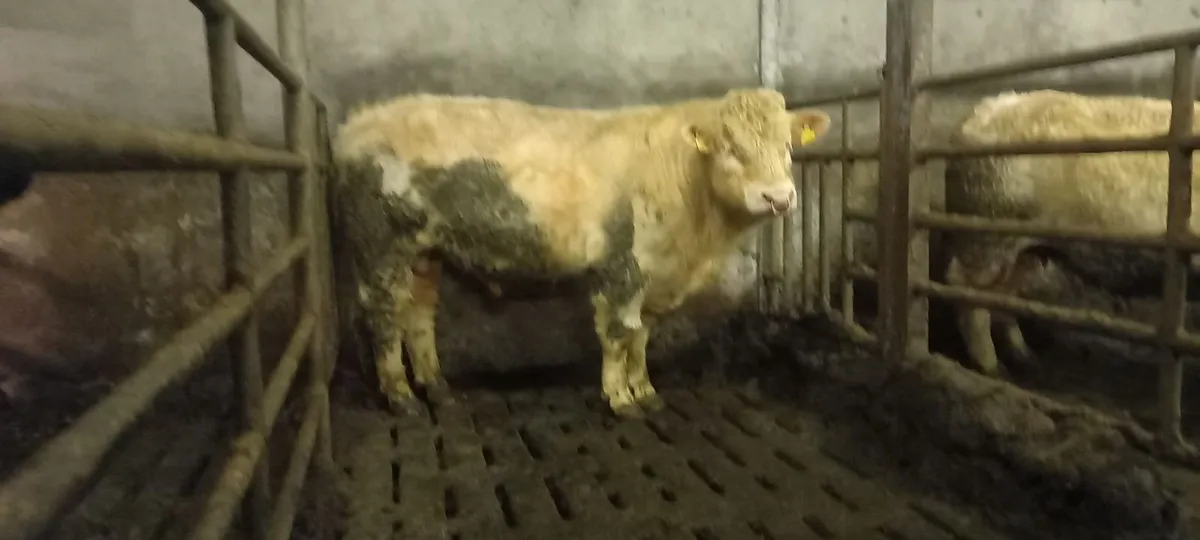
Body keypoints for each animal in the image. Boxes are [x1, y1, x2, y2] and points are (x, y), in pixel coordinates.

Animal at [332, 89, 832, 418]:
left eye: (788, 146)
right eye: (731, 148)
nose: (778, 197)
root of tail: (356, 124)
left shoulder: (655, 275)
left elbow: (641, 335)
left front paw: (645, 389)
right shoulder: (621, 266)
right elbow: (617, 333)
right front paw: (620, 398)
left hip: (425, 251)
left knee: (418, 315)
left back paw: (437, 388)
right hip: (380, 245)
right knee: (382, 315)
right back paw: (400, 397)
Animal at [941, 89, 1200, 376]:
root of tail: (985, 108)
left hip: (1024, 249)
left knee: (1004, 296)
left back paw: (1027, 358)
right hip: (987, 233)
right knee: (964, 289)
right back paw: (992, 369)